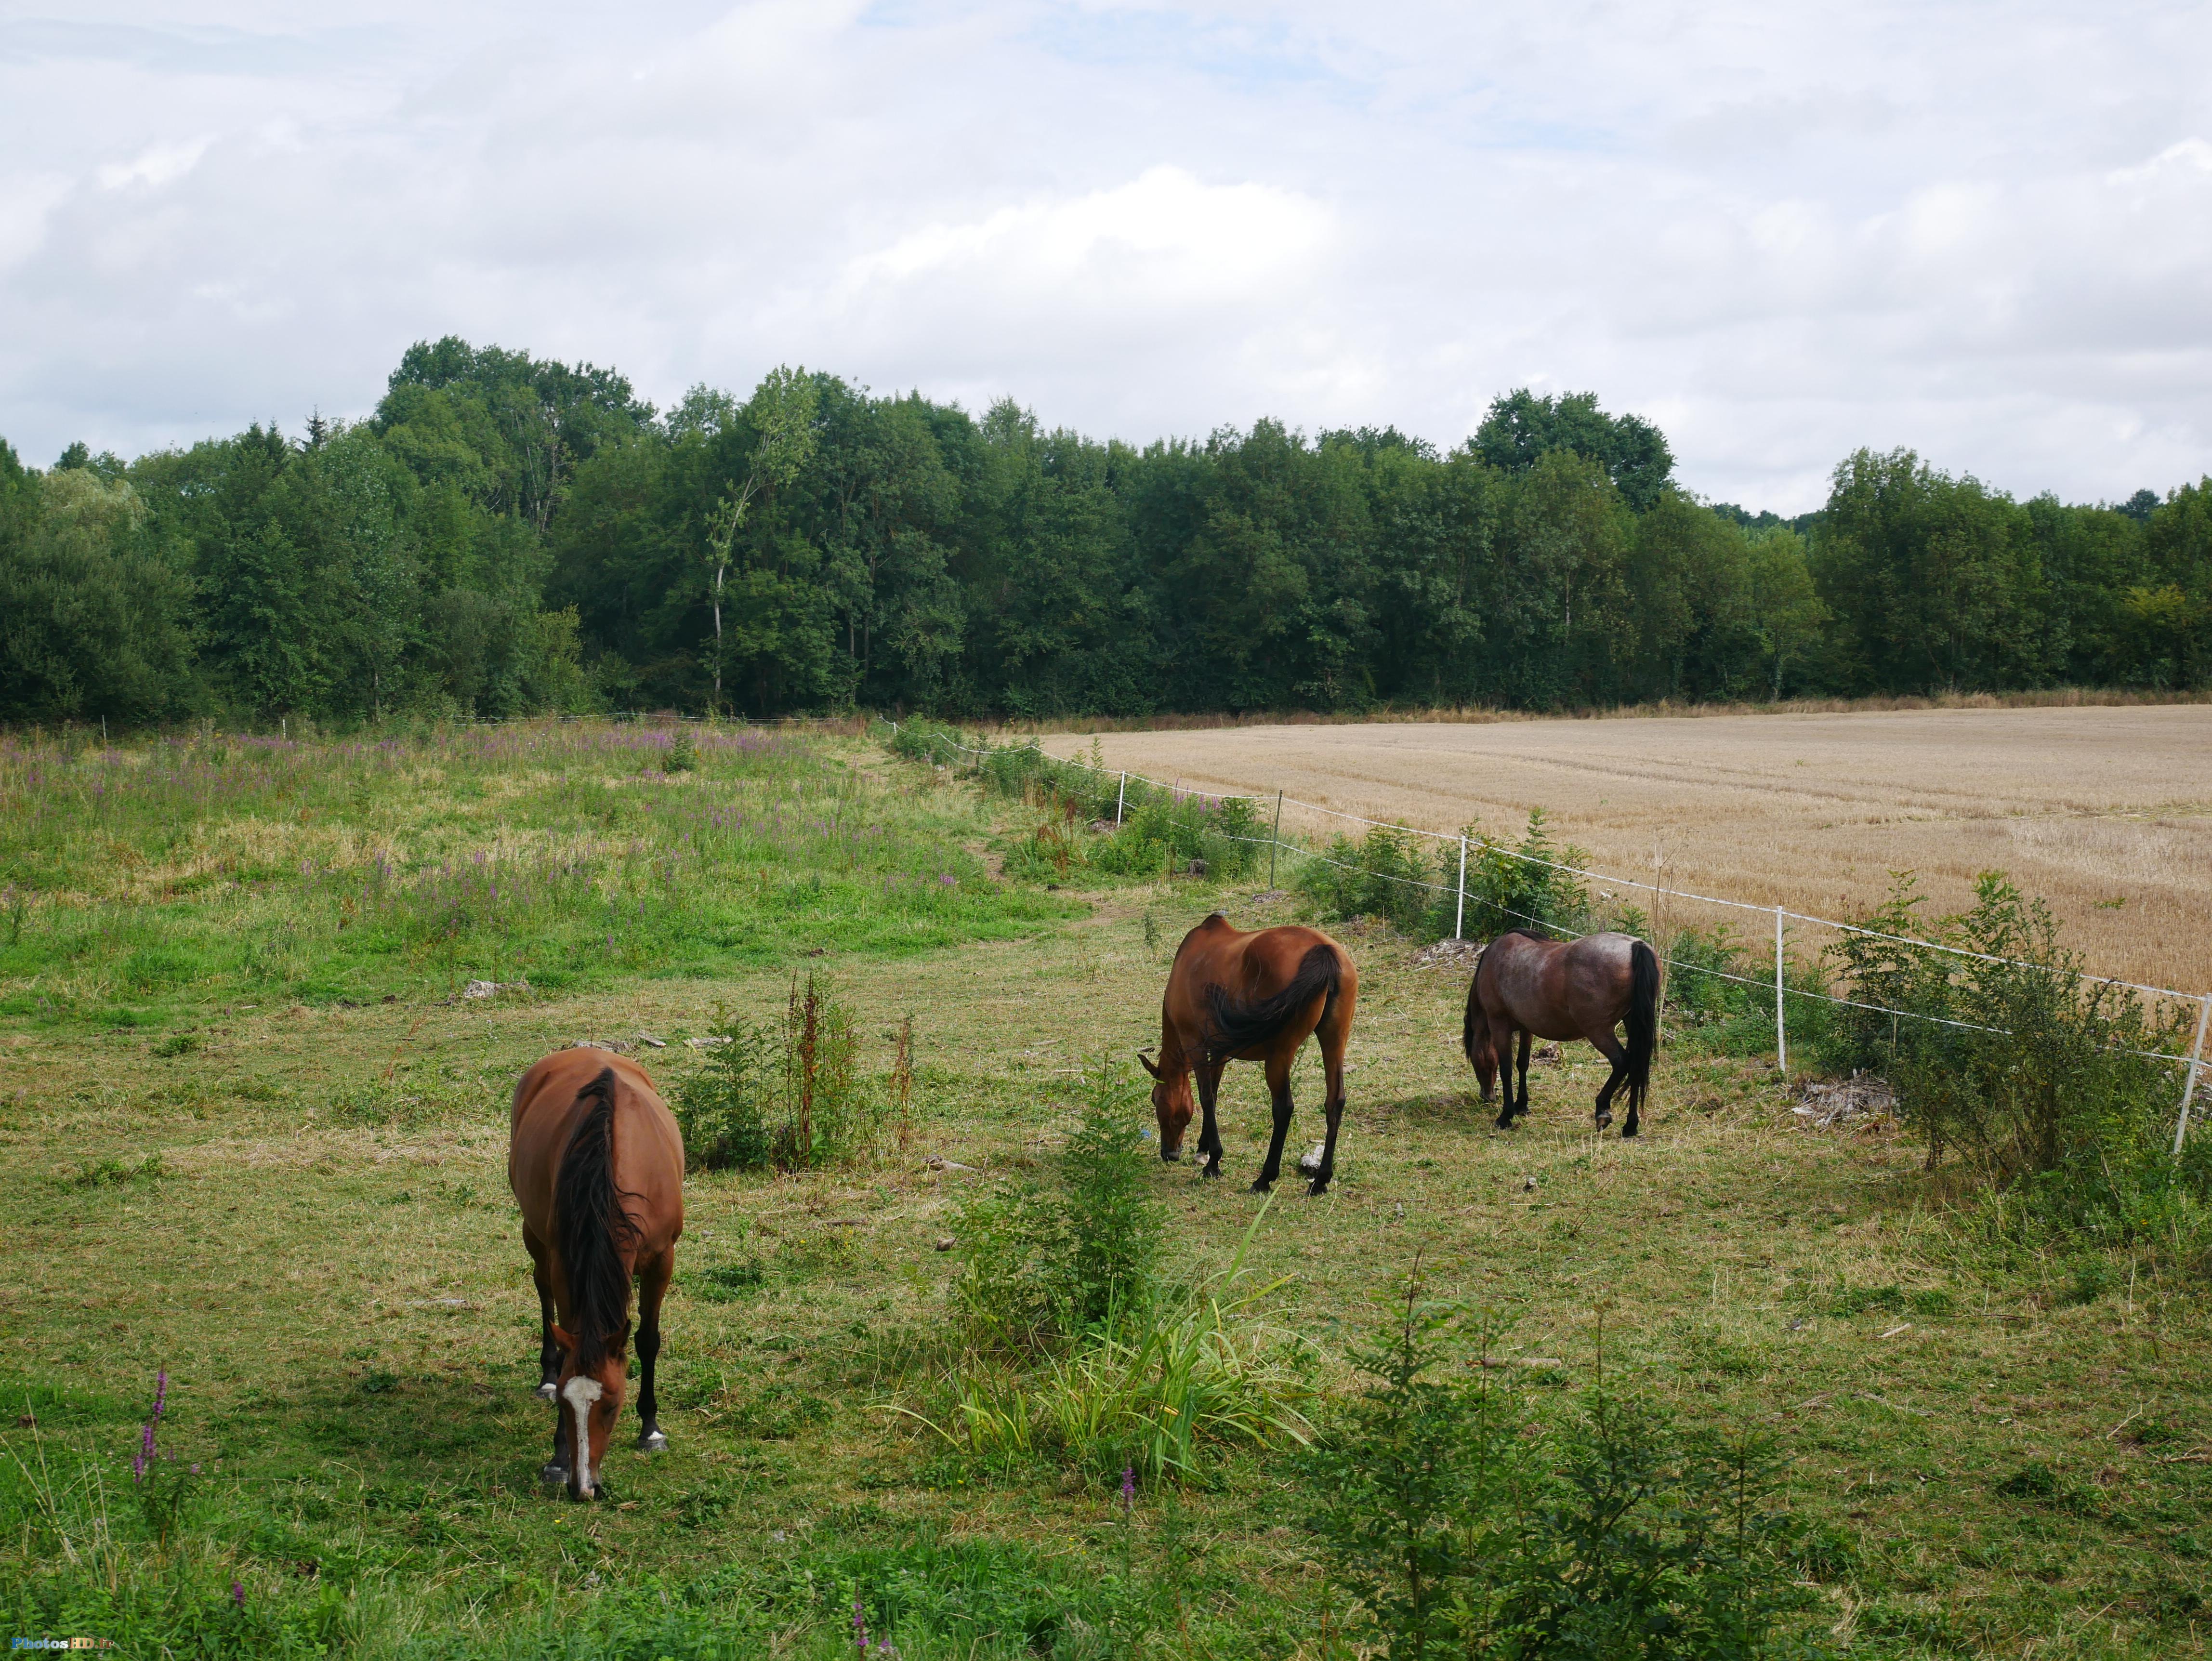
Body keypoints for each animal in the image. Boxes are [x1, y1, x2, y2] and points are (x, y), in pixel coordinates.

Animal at [509, 1053, 681, 1504]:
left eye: (612, 1405)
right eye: (565, 1406)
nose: (583, 1487)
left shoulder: (662, 1259)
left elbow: (647, 1341)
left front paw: (651, 1431)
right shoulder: (564, 1262)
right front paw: (557, 1458)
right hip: (535, 1236)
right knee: (542, 1291)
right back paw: (545, 1376)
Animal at [1150, 911, 1354, 1194]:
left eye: (1154, 1100)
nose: (1169, 1154)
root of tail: (1323, 950)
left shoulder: (1196, 1045)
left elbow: (1207, 1098)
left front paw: (1213, 1162)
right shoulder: (1220, 1052)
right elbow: (1214, 1093)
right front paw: (1203, 1149)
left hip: (1279, 1056)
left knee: (1284, 1108)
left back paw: (1265, 1178)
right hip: (1334, 1041)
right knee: (1335, 1102)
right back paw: (1321, 1180)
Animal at [1460, 929, 1654, 1141]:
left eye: (1475, 1061)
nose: (1487, 1097)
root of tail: (1635, 945)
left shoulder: (1499, 1025)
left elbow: (1507, 1069)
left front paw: (1506, 1116)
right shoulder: (1527, 1028)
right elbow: (1523, 1064)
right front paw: (1522, 1106)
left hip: (1598, 1032)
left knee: (1622, 1062)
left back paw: (1602, 1111)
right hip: (1631, 1024)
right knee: (1636, 1067)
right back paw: (1630, 1125)